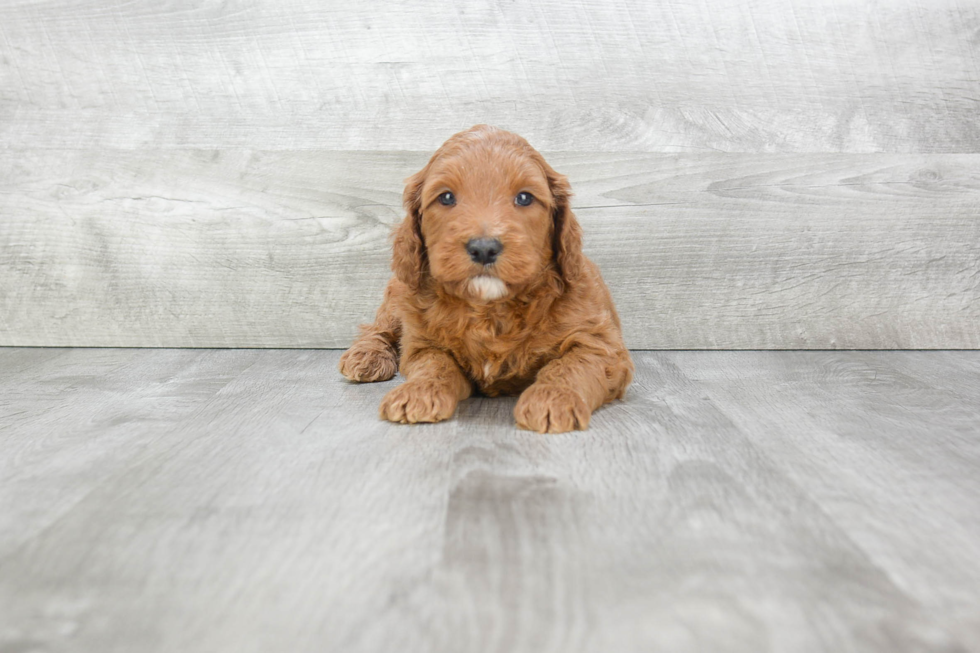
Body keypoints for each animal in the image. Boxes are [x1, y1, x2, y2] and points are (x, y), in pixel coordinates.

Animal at [340, 127, 636, 432]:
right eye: (446, 197)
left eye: (525, 198)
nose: (484, 248)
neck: (489, 309)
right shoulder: (423, 343)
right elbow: (435, 363)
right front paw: (419, 391)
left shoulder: (600, 344)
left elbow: (571, 365)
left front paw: (552, 397)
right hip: (399, 288)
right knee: (379, 327)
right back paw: (367, 356)